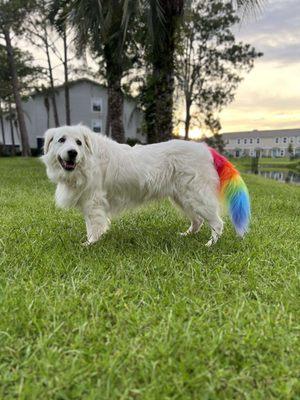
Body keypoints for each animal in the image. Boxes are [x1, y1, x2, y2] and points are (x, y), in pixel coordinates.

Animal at [41, 124, 250, 247]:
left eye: (78, 142)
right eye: (61, 140)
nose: (72, 153)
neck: (89, 160)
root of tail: (206, 149)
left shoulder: (94, 203)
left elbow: (94, 227)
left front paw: (90, 244)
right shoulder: (89, 203)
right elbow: (90, 225)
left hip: (197, 197)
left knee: (217, 223)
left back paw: (210, 245)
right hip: (183, 199)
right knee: (197, 221)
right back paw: (187, 235)